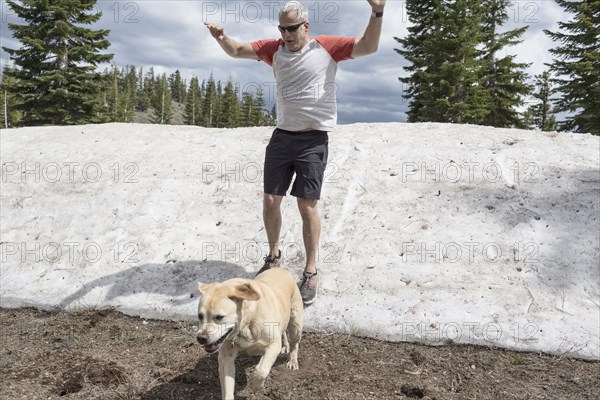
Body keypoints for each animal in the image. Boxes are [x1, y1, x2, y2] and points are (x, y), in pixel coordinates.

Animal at [196, 266, 302, 400]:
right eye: (200, 316)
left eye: (219, 317)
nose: (201, 338)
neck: (247, 323)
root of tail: (280, 268)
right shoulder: (226, 357)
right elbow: (227, 385)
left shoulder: (273, 345)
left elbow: (261, 370)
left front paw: (255, 385)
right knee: (283, 332)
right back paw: (285, 346)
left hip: (295, 324)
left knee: (294, 343)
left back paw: (292, 360)